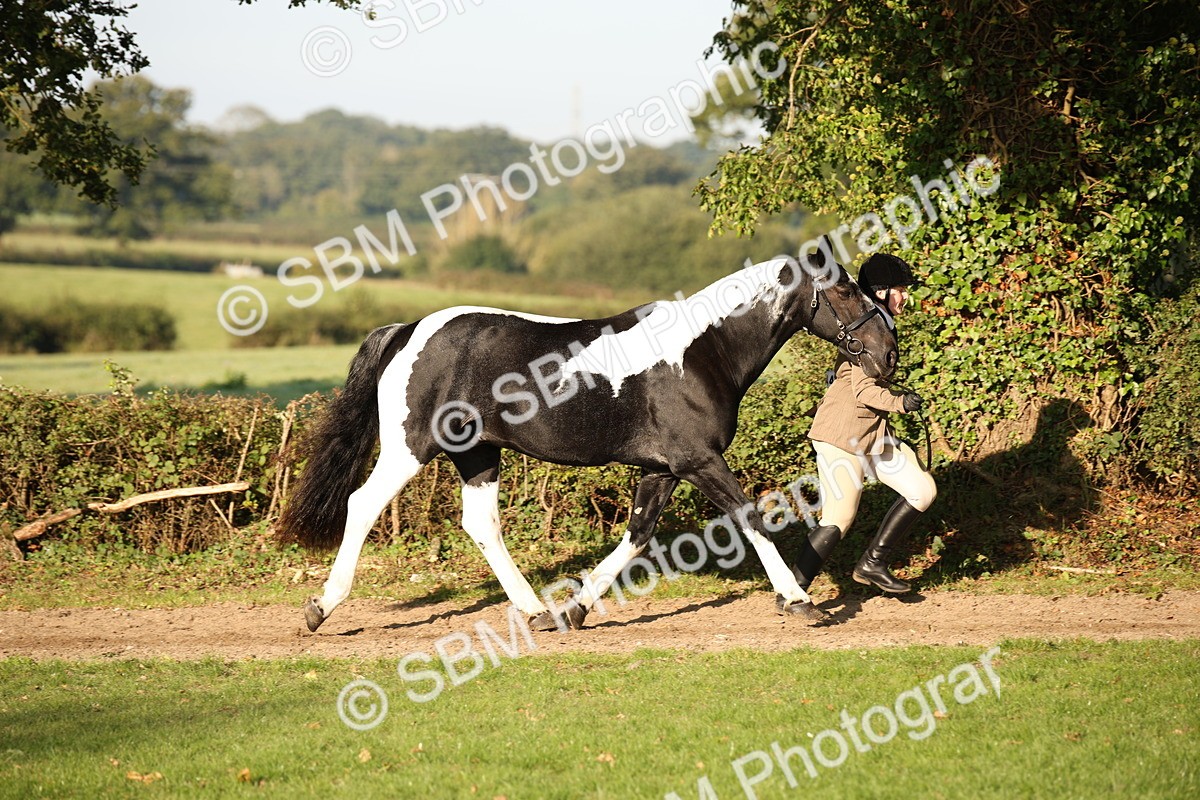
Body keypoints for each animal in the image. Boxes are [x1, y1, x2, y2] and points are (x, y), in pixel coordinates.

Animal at [279, 244, 898, 632]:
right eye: (844, 292)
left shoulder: (663, 468)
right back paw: (320, 608)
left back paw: (535, 611)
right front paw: (799, 602)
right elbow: (750, 518)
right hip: (410, 449)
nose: (888, 354)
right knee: (362, 504)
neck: (701, 351)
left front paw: (576, 609)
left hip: (477, 453)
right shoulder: (699, 461)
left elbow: (638, 535)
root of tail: (407, 330)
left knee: (482, 526)